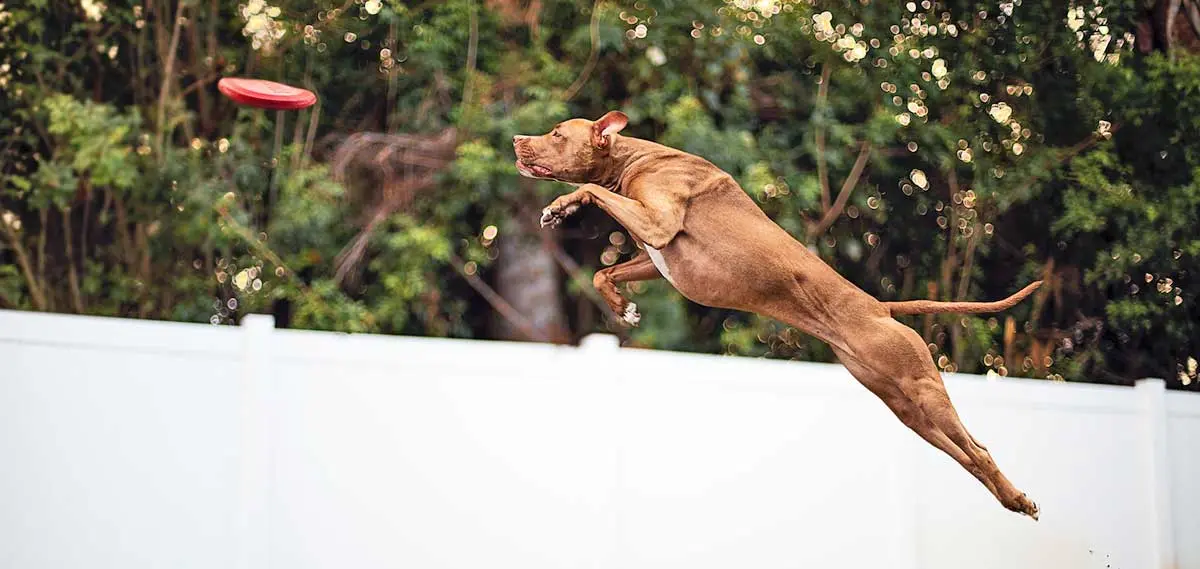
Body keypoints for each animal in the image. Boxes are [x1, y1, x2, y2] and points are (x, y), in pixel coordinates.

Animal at [511, 111, 1046, 520]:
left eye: (557, 133)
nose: (517, 139)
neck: (635, 157)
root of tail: (878, 306)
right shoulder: (653, 255)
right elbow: (605, 270)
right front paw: (621, 304)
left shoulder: (659, 225)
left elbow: (595, 192)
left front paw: (563, 203)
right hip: (903, 407)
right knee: (967, 454)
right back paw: (1014, 500)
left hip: (921, 387)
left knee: (979, 450)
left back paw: (1018, 498)